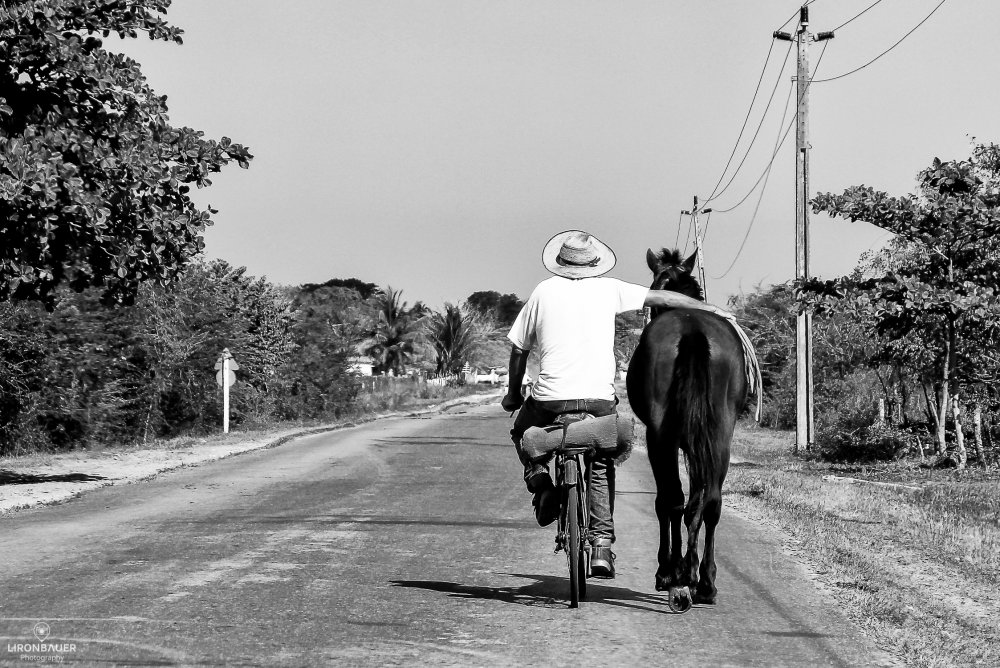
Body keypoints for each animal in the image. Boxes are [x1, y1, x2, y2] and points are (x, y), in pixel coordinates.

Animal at [628, 248, 748, 608]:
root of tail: (692, 328)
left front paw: (670, 571)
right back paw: (704, 581)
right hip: (720, 436)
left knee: (671, 498)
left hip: (660, 437)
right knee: (711, 501)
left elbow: (670, 501)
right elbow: (698, 498)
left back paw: (673, 575)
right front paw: (691, 571)